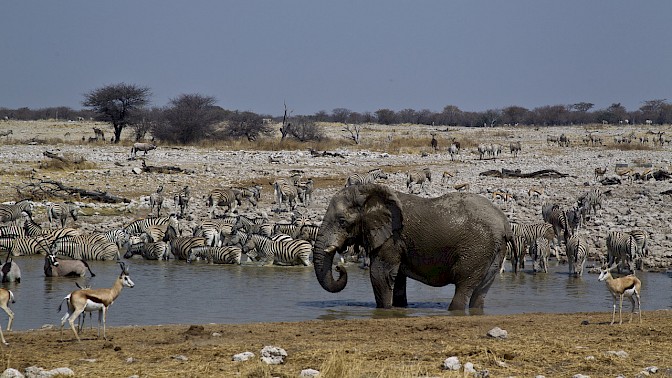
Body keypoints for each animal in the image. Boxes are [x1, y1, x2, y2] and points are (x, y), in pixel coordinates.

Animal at [312, 184, 512, 314]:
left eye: (342, 222)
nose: (339, 267)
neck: (369, 193)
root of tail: (504, 221)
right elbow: (398, 278)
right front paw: (398, 309)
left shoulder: (392, 238)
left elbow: (379, 274)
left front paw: (385, 310)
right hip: (493, 250)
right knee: (482, 289)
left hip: (477, 248)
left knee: (464, 284)